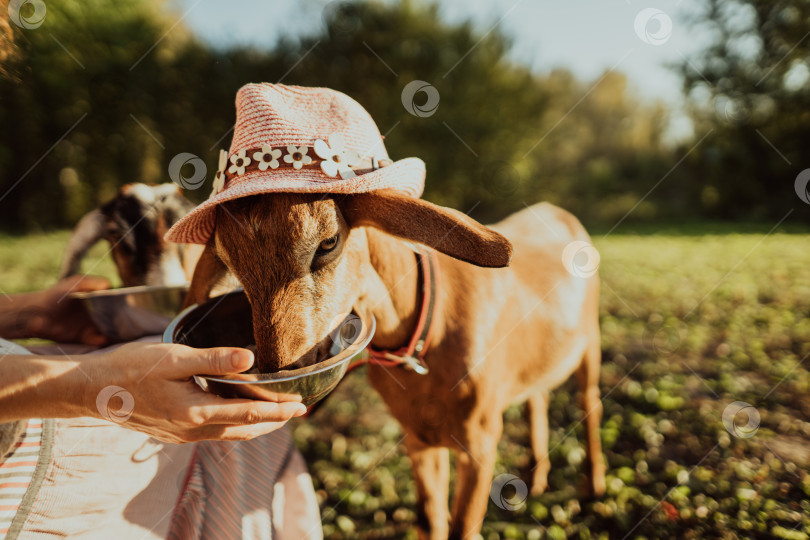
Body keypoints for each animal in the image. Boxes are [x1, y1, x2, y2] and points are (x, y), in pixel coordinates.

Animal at [183, 191, 600, 540]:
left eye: (329, 242)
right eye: (229, 262)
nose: (280, 368)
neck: (426, 332)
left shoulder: (480, 440)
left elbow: (461, 528)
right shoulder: (417, 439)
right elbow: (429, 522)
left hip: (590, 344)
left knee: (589, 402)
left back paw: (593, 487)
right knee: (538, 397)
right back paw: (537, 476)